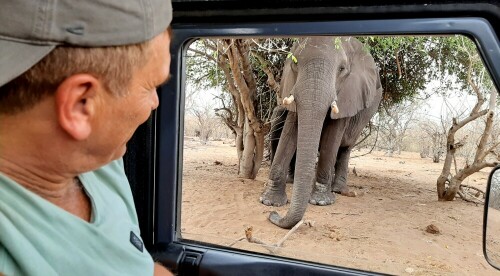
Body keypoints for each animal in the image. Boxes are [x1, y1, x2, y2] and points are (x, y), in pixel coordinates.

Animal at [260, 36, 380, 229]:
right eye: (295, 64)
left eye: (342, 69)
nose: (273, 215)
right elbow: (291, 131)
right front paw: (270, 201)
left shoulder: (349, 95)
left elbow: (332, 136)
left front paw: (321, 201)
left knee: (345, 148)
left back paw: (338, 190)